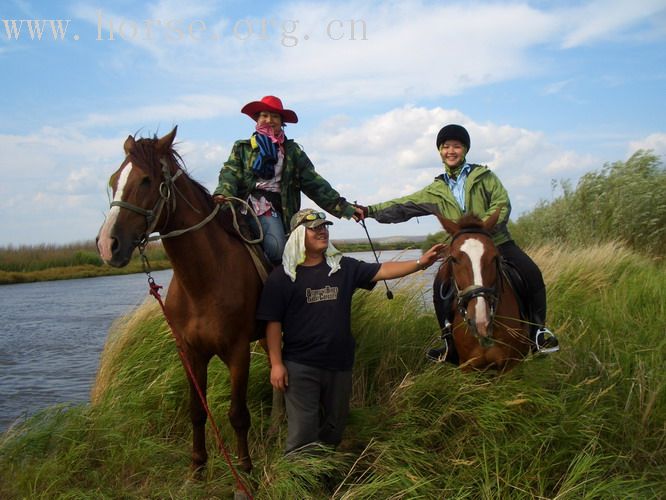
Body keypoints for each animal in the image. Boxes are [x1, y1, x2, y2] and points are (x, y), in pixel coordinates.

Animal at [96, 127, 262, 470]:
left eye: (146, 180)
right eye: (114, 179)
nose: (107, 245)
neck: (203, 283)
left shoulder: (238, 352)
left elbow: (238, 415)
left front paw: (245, 469)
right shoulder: (190, 352)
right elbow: (197, 412)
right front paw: (197, 467)